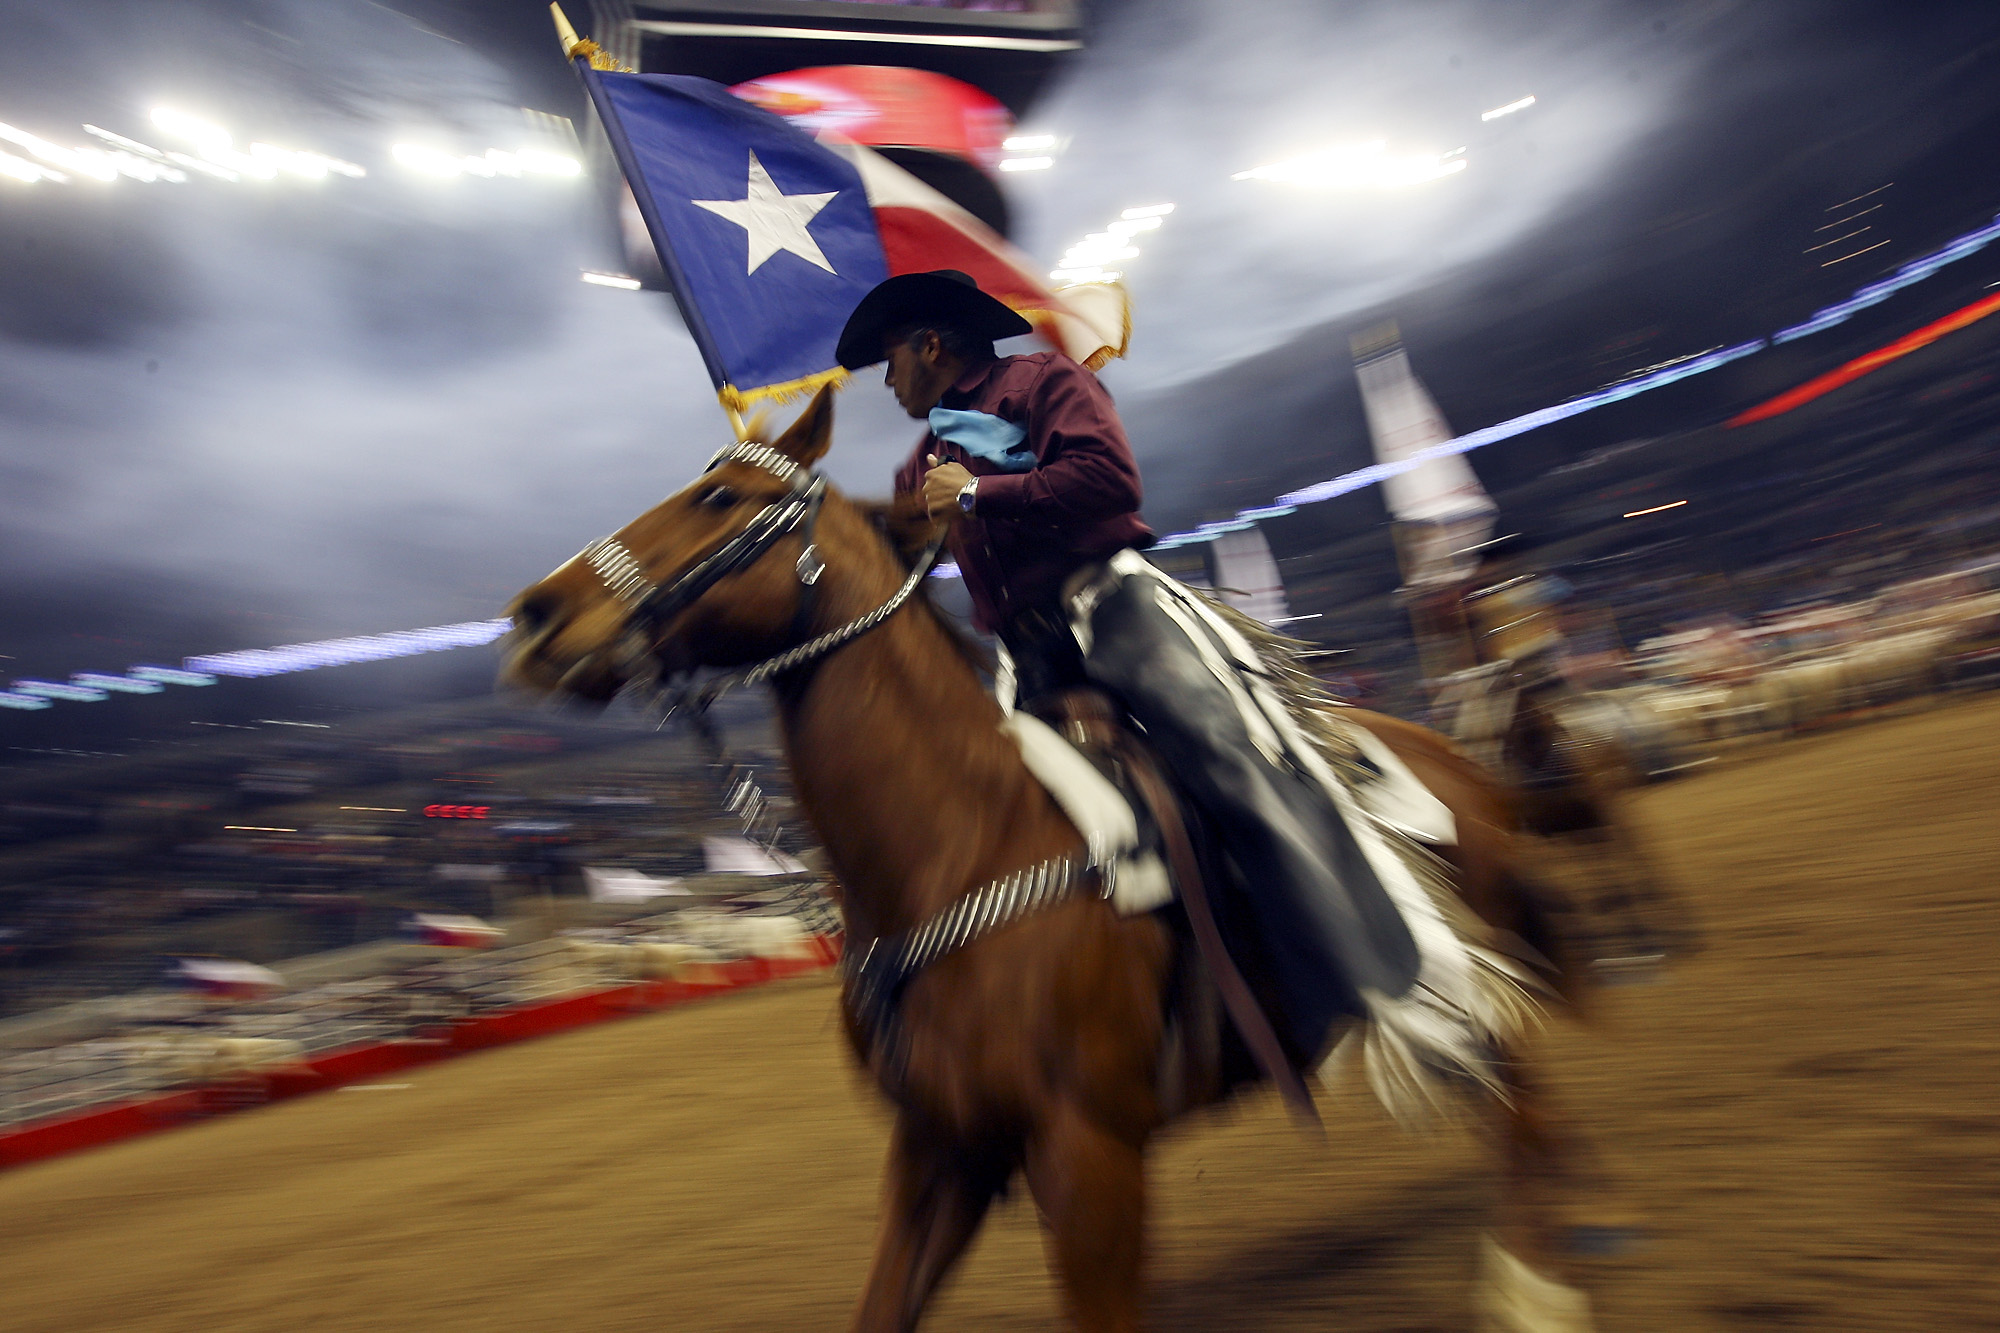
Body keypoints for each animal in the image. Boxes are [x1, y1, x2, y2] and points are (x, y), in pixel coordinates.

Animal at [508, 386, 1600, 1328]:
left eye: (721, 497)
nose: (535, 615)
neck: (959, 843)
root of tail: (1455, 755)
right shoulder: (942, 1147)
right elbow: (881, 1305)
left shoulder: (1087, 1153)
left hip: (1465, 970)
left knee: (1526, 1109)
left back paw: (1534, 1290)